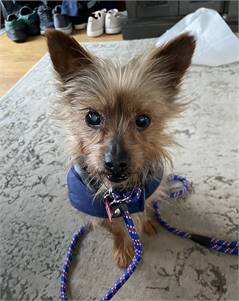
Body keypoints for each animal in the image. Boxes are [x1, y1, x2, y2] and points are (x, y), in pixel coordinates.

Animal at [45, 30, 195, 268]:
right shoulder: (98, 213)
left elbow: (145, 208)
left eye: (143, 120)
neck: (120, 195)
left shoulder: (149, 190)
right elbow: (116, 230)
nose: (115, 163)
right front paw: (123, 249)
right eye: (92, 117)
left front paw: (146, 223)